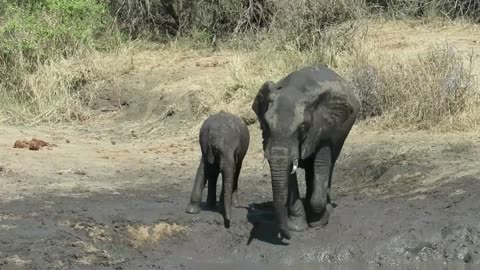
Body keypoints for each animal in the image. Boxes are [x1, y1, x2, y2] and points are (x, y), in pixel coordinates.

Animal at [253, 64, 358, 239]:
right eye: (266, 124)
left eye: (302, 126)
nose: (285, 236)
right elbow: (289, 174)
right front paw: (297, 227)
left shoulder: (323, 125)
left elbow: (321, 164)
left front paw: (318, 223)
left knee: (329, 164)